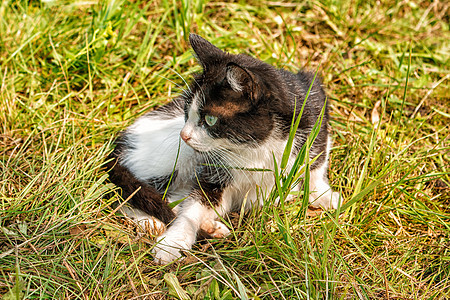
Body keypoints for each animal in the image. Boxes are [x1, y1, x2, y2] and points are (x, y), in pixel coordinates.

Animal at [105, 34, 340, 264]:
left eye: (210, 120)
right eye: (186, 110)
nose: (184, 135)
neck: (256, 145)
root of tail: (119, 143)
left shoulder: (316, 110)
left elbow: (317, 161)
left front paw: (322, 194)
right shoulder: (214, 170)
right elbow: (197, 202)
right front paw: (173, 243)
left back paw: (210, 226)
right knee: (132, 192)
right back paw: (151, 221)